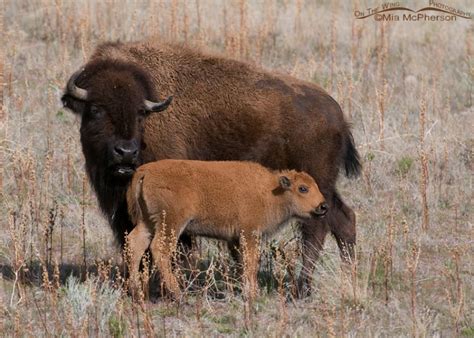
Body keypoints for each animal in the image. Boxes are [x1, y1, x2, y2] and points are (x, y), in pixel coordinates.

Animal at [125, 160, 326, 298]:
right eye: (303, 188)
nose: (323, 206)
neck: (270, 191)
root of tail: (145, 171)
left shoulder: (237, 239)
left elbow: (243, 264)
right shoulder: (250, 234)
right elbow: (251, 262)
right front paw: (253, 293)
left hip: (148, 222)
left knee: (135, 243)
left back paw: (136, 291)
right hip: (171, 223)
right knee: (160, 249)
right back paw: (179, 294)